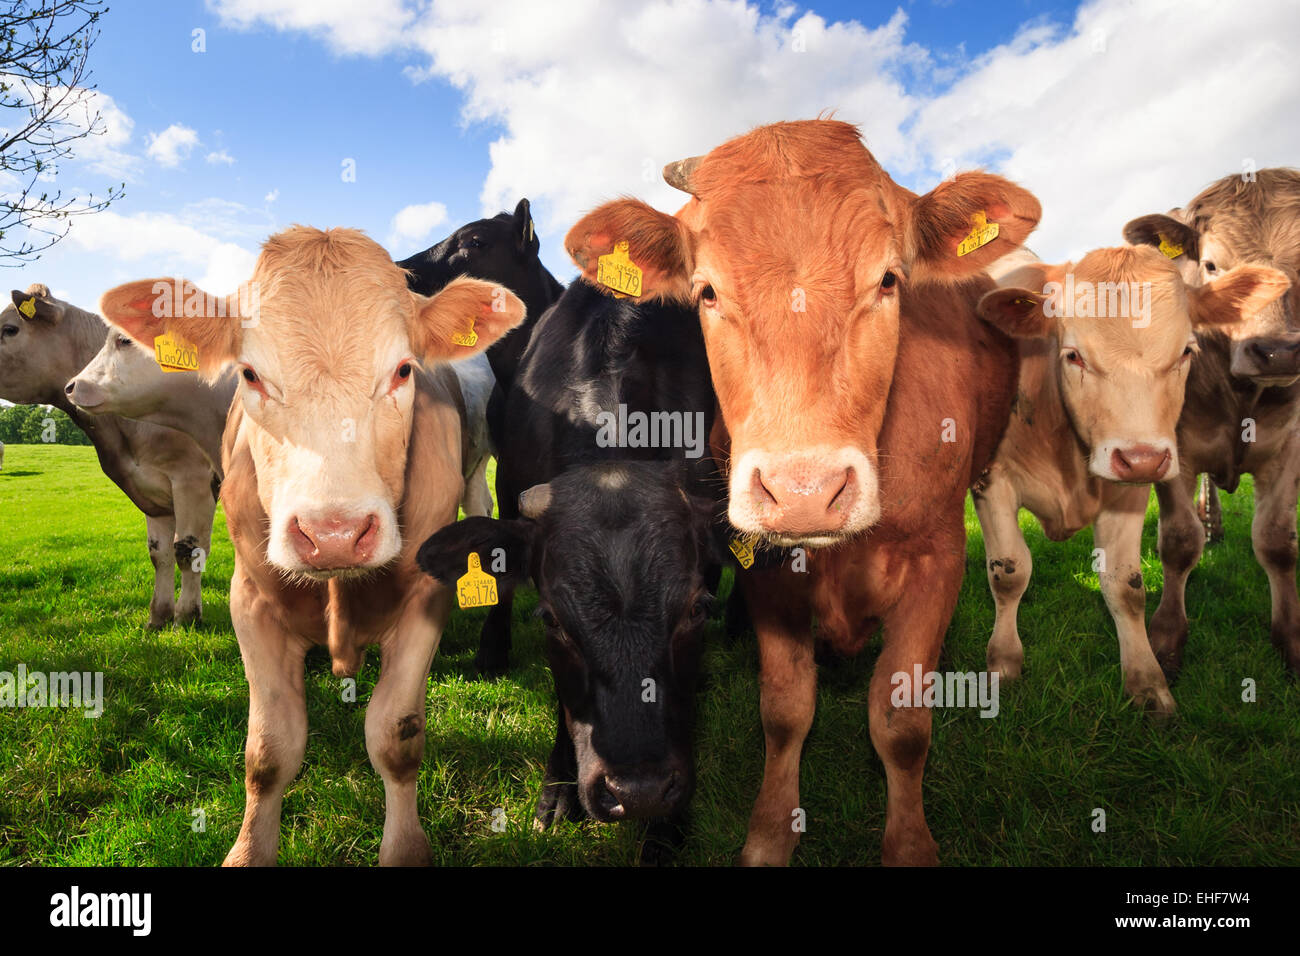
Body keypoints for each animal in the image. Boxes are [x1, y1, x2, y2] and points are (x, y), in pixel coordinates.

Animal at [0, 283, 220, 627]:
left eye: (10, 329)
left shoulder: (192, 479)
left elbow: (189, 551)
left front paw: (186, 618)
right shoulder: (151, 492)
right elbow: (159, 554)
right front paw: (158, 617)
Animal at [99, 227, 525, 866]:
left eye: (404, 370)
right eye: (249, 374)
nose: (334, 535)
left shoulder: (425, 600)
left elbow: (395, 736)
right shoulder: (250, 601)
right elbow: (269, 751)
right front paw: (248, 849)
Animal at [565, 119, 1041, 865]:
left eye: (889, 279)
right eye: (706, 291)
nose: (804, 492)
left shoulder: (938, 559)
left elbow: (902, 722)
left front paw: (909, 843)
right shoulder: (766, 570)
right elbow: (785, 711)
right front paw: (768, 836)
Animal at [973, 246, 1289, 715]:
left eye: (1186, 351)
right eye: (1073, 355)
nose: (1142, 459)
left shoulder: (1128, 493)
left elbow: (1126, 587)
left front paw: (1148, 684)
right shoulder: (991, 482)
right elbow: (1009, 573)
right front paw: (1003, 666)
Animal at [1124, 167, 1300, 676]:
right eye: (1212, 266)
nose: (1277, 352)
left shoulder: (1290, 444)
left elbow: (1277, 541)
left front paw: (1291, 639)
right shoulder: (1173, 447)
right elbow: (1179, 540)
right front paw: (1166, 640)